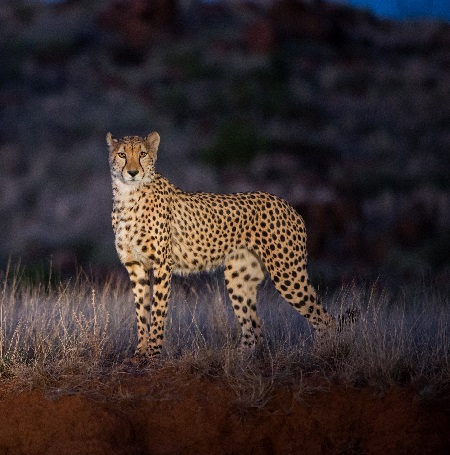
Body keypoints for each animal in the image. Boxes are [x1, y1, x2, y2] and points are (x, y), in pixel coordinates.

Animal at [106, 132, 338, 364]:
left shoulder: (162, 264)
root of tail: (288, 205)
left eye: (143, 154)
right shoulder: (135, 266)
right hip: (238, 277)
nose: (133, 172)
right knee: (254, 332)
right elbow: (141, 312)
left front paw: (154, 354)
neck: (128, 195)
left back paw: (322, 354)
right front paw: (139, 354)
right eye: (122, 155)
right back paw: (239, 358)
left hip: (287, 273)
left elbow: (157, 312)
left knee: (325, 319)